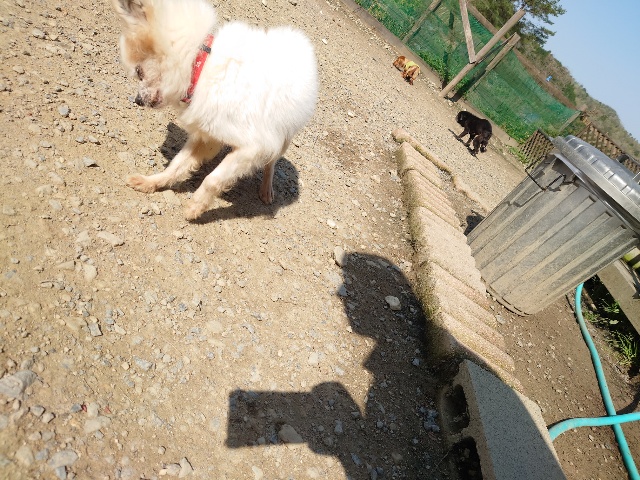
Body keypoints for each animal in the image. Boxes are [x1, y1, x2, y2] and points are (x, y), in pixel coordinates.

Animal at [112, 0, 318, 220]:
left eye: (139, 72)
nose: (137, 100)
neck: (199, 69)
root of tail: (300, 41)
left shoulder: (253, 147)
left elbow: (213, 179)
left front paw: (195, 207)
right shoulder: (207, 136)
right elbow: (176, 165)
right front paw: (152, 182)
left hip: (283, 138)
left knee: (271, 161)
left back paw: (266, 189)